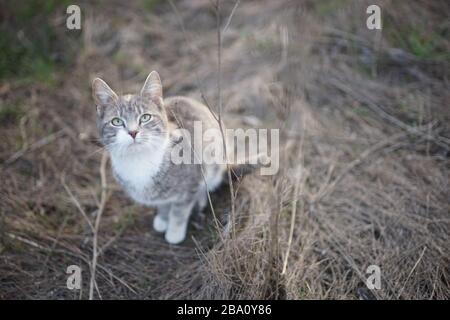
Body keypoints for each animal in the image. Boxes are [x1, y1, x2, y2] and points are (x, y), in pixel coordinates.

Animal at [92, 71, 232, 244]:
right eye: (116, 121)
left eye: (145, 117)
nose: (133, 132)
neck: (139, 159)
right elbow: (163, 202)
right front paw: (163, 217)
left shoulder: (191, 181)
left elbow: (180, 210)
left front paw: (174, 232)